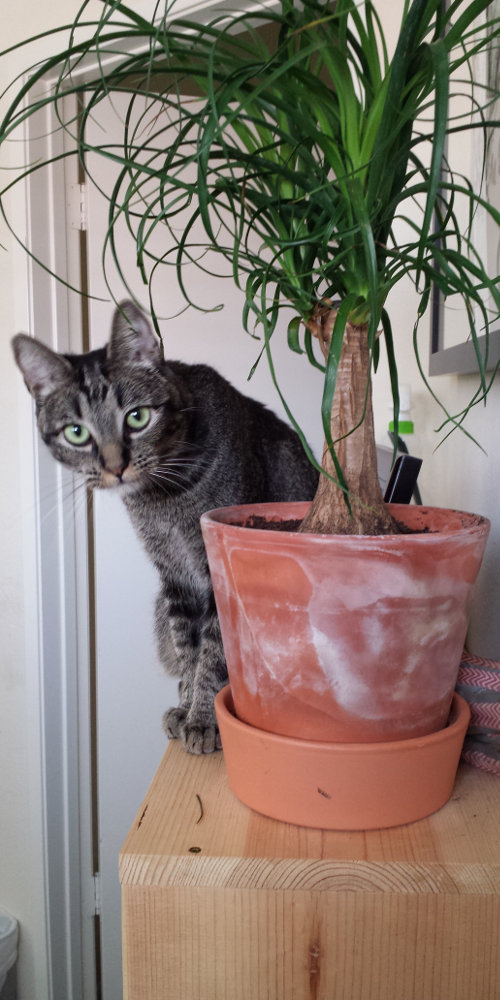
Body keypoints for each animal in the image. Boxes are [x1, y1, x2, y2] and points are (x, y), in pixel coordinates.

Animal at [13, 300, 318, 752]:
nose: (115, 467)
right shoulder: (174, 578)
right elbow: (188, 647)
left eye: (137, 418)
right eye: (76, 433)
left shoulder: (216, 572)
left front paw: (206, 719)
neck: (163, 497)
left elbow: (215, 650)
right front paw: (189, 706)